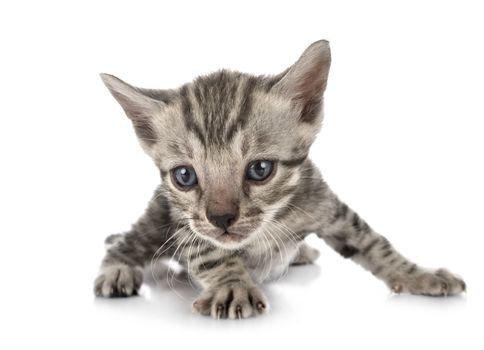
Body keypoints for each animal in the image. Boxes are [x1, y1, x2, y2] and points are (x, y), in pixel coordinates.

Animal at [93, 39, 466, 318]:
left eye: (260, 169)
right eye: (184, 176)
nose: (221, 218)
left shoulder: (326, 205)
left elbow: (374, 242)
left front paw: (418, 275)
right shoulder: (187, 227)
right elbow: (210, 251)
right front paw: (232, 285)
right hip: (159, 216)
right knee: (131, 241)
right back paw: (116, 270)